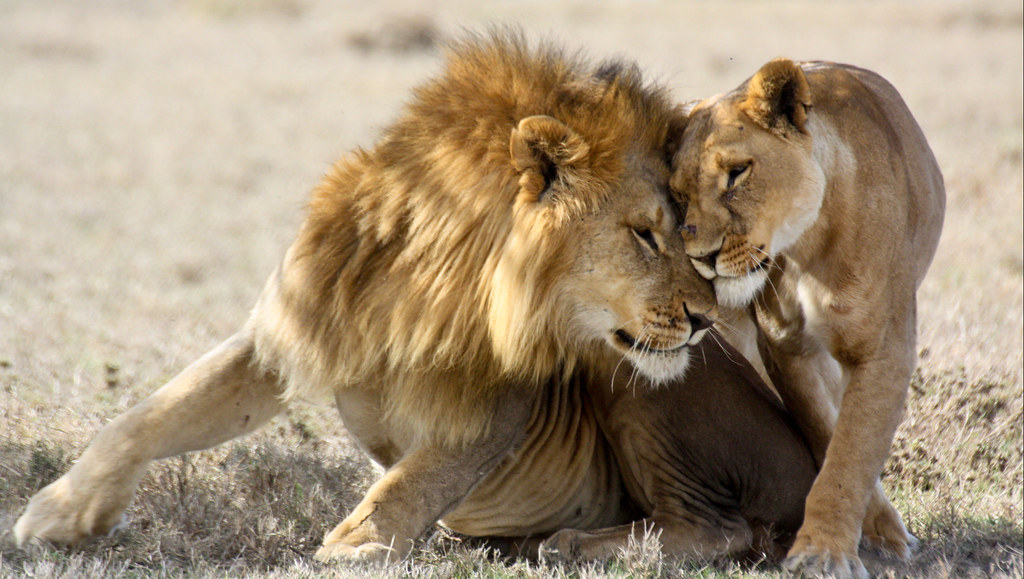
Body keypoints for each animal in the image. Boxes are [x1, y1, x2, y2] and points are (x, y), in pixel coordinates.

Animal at [16, 32, 815, 565]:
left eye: (685, 232)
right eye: (646, 235)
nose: (707, 319)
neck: (426, 284)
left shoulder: (502, 399)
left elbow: (411, 480)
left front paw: (352, 546)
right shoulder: (291, 328)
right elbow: (154, 413)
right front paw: (59, 512)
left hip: (634, 384)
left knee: (721, 527)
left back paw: (575, 541)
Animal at [667, 56, 946, 573]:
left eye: (737, 173)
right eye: (678, 194)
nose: (701, 257)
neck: (807, 246)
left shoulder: (883, 351)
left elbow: (851, 451)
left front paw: (824, 554)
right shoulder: (784, 347)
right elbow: (827, 432)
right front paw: (859, 535)